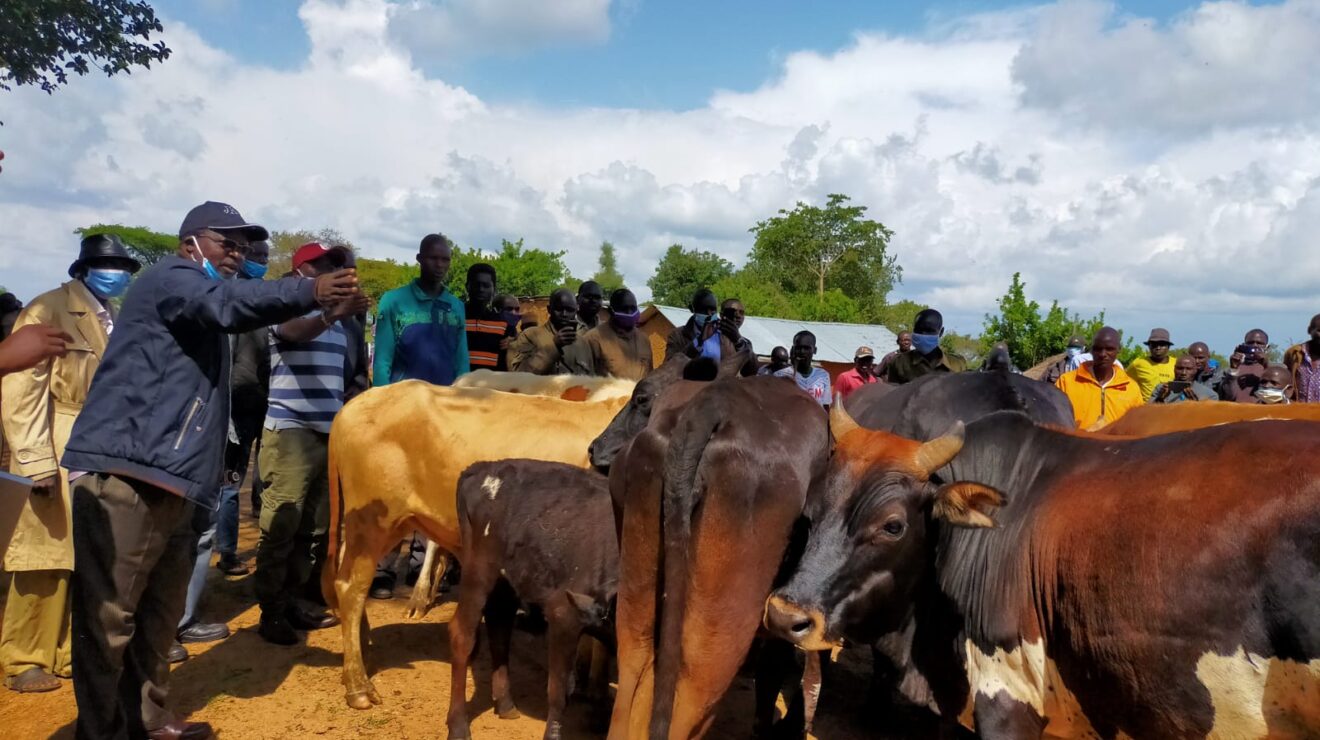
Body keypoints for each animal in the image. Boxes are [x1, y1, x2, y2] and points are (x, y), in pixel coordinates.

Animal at [322, 381, 629, 709]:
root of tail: (353, 406)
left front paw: (592, 684)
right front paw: (591, 687)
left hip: (379, 525)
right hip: (373, 520)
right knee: (350, 588)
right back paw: (358, 686)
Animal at [447, 460, 617, 740]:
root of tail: (482, 467)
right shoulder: (563, 614)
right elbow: (559, 689)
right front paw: (552, 733)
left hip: (506, 579)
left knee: (500, 626)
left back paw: (505, 703)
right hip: (478, 570)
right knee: (463, 635)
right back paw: (458, 725)